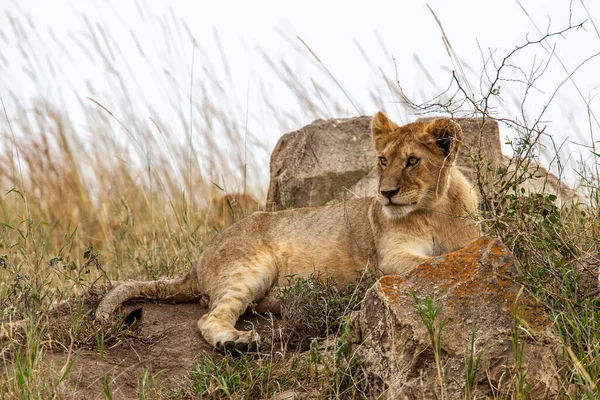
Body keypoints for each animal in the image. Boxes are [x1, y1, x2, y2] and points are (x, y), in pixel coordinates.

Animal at [95, 111, 478, 352]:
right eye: (383, 160)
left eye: (412, 161)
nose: (386, 193)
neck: (435, 210)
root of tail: (197, 262)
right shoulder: (390, 255)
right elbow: (430, 262)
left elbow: (454, 253)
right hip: (250, 268)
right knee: (210, 316)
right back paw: (235, 342)